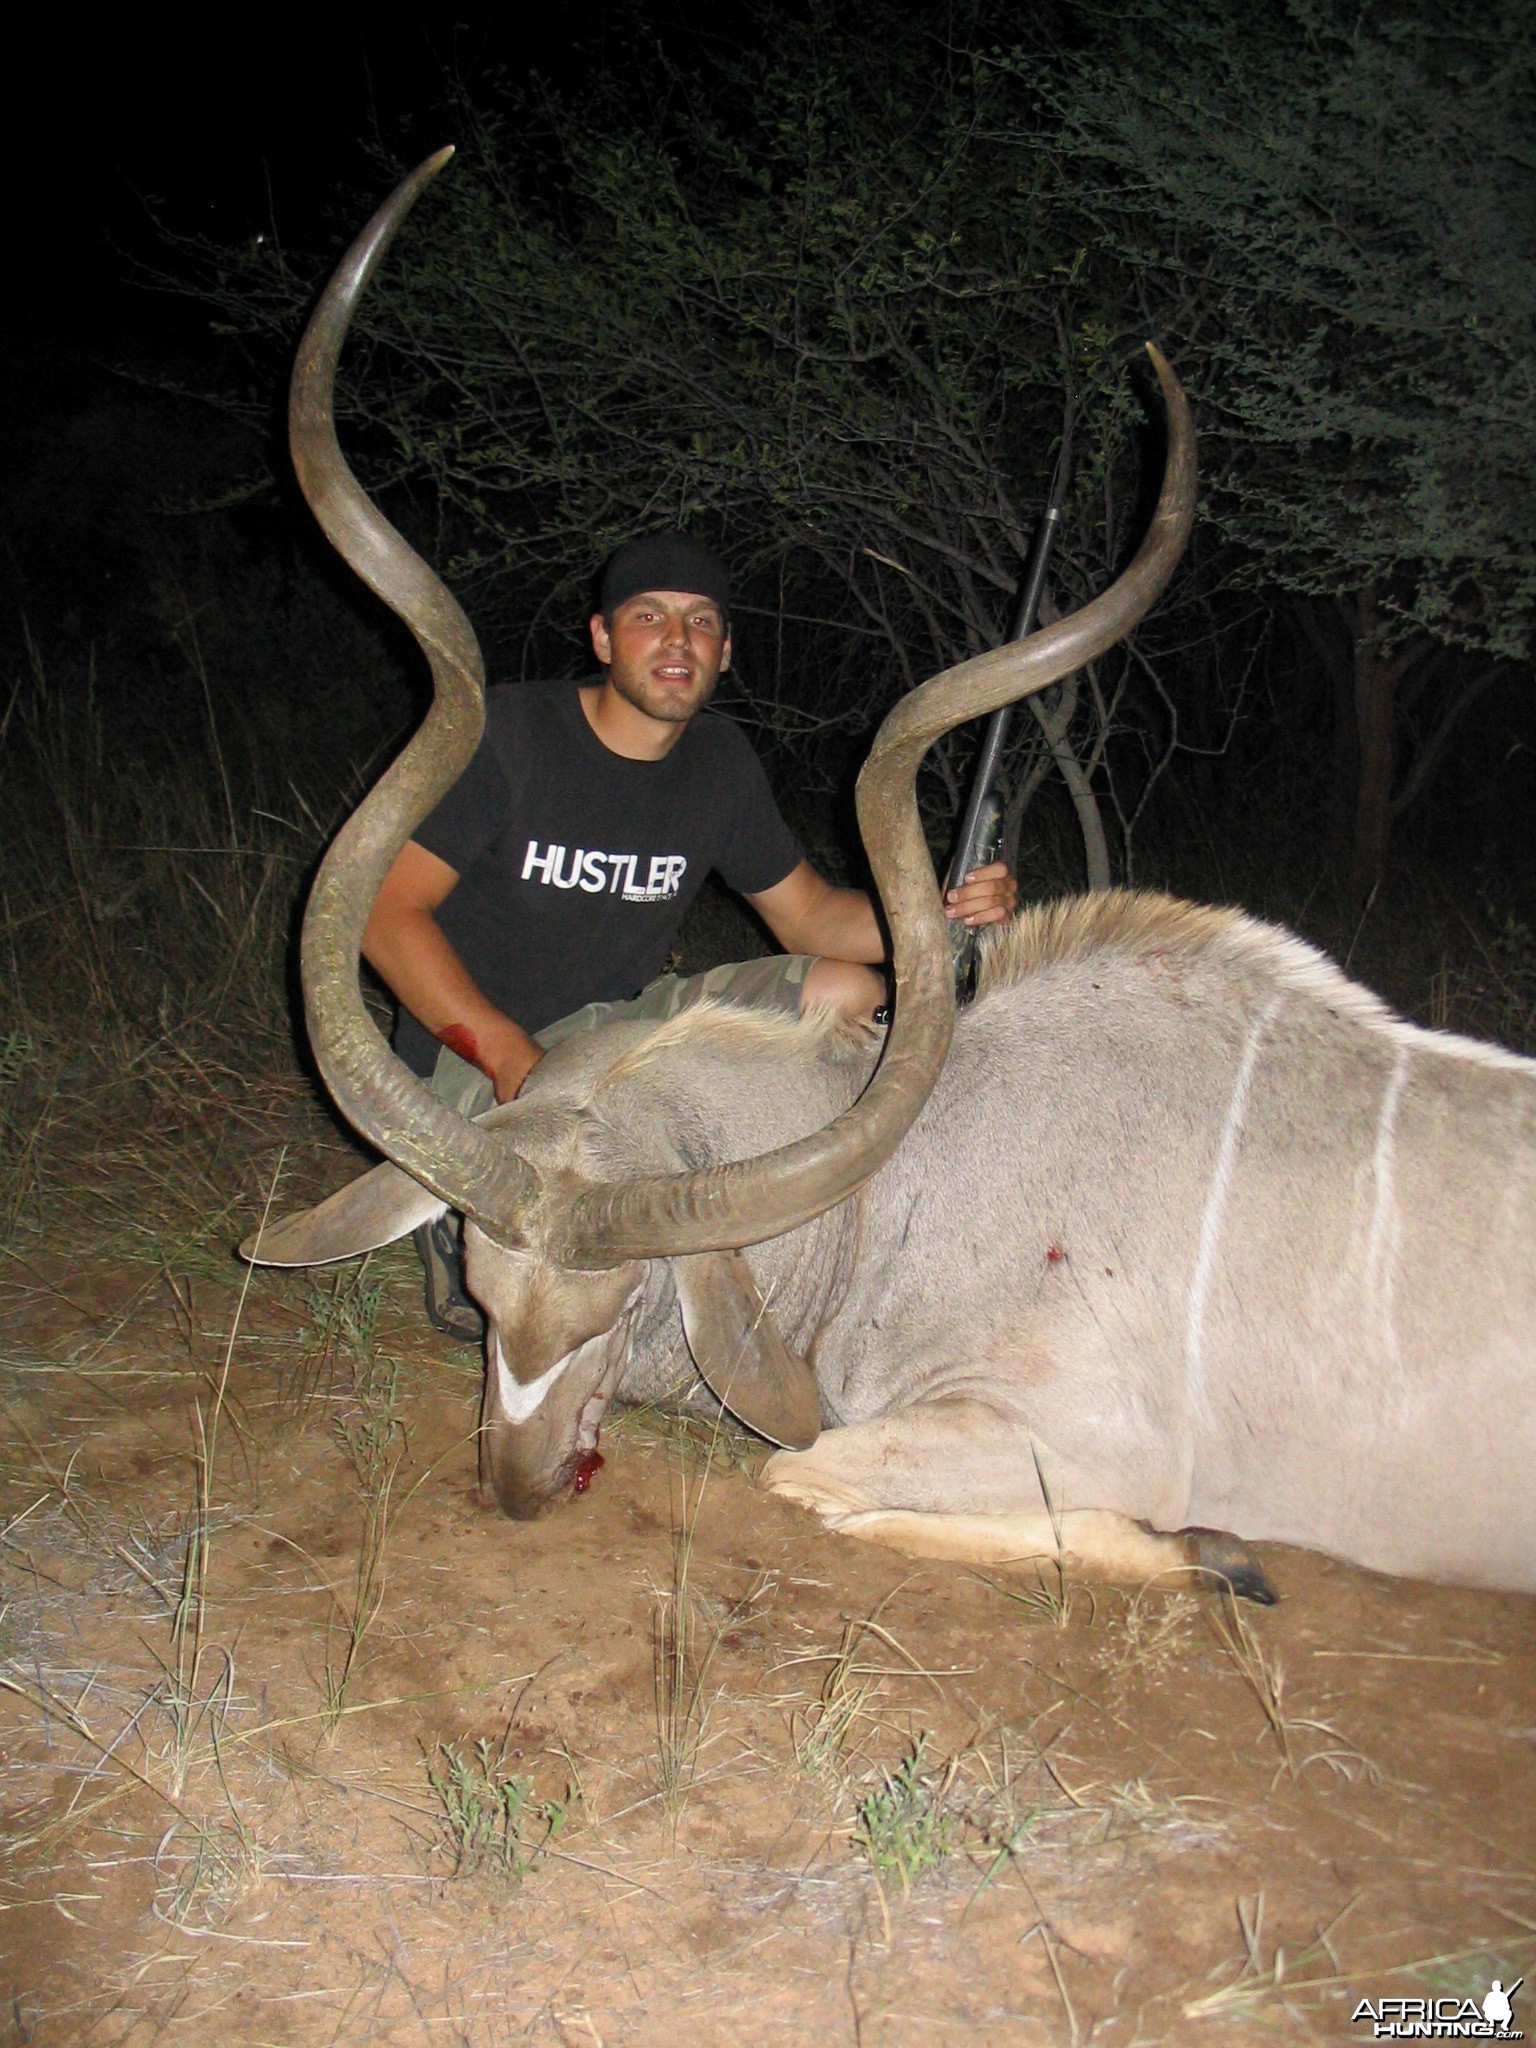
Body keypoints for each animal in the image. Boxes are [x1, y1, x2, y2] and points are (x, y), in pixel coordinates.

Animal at [246, 155, 1531, 1597]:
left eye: (623, 1301)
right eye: (478, 1290)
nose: (517, 1484)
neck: (906, 1180)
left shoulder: (1064, 1433)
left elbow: (807, 1475)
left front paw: (1218, 1551)